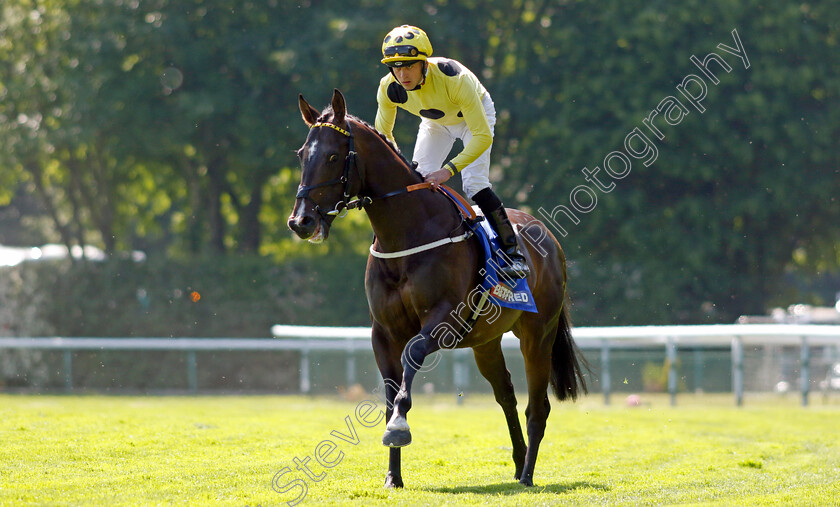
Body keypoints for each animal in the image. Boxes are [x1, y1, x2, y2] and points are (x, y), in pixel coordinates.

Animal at [286, 89, 588, 490]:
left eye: (333, 156)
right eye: (302, 154)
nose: (301, 221)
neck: (407, 233)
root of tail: (548, 237)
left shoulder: (443, 320)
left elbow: (411, 357)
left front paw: (399, 428)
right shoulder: (383, 331)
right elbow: (388, 391)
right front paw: (393, 476)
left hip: (538, 334)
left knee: (537, 406)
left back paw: (526, 475)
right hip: (486, 342)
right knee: (506, 394)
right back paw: (518, 461)